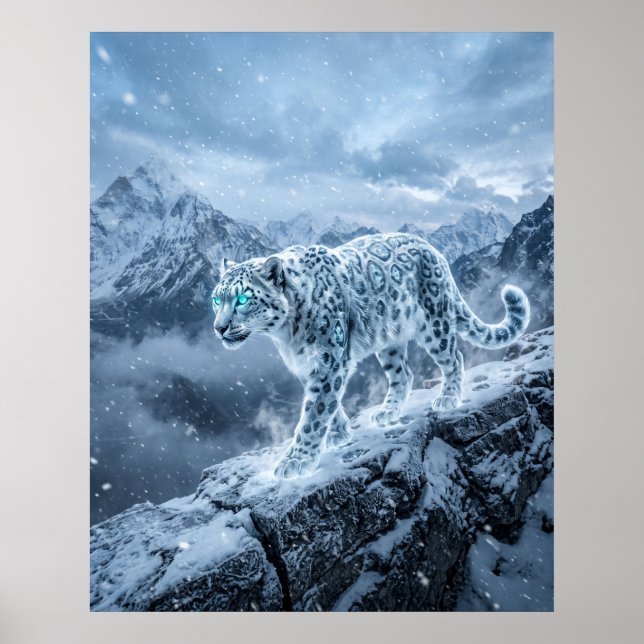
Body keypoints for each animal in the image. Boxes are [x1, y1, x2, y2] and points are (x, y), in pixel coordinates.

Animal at [211, 233, 530, 479]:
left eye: (242, 299)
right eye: (216, 298)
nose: (218, 327)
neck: (286, 335)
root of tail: (434, 250)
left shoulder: (328, 359)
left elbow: (315, 412)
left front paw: (296, 460)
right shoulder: (308, 365)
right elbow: (326, 404)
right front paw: (339, 434)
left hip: (435, 323)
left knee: (453, 358)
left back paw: (448, 397)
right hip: (390, 341)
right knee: (404, 374)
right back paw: (388, 412)